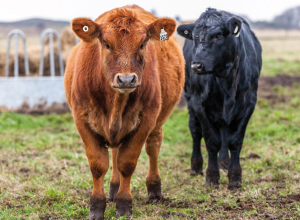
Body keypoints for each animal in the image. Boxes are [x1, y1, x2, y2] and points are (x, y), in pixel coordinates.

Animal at [64, 4, 184, 219]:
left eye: (143, 44)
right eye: (106, 43)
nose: (126, 80)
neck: (115, 103)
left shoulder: (146, 120)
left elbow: (127, 163)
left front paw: (123, 204)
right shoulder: (81, 119)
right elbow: (98, 164)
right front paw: (97, 206)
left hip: (158, 121)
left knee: (153, 146)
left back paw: (154, 188)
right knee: (115, 151)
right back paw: (113, 187)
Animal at [177, 8, 262, 191]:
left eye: (217, 36)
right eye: (195, 38)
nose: (196, 66)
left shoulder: (248, 104)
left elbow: (235, 141)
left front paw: (235, 177)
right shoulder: (200, 104)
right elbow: (211, 141)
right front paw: (212, 177)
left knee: (224, 129)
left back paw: (224, 162)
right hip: (190, 101)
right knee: (196, 132)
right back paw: (196, 166)